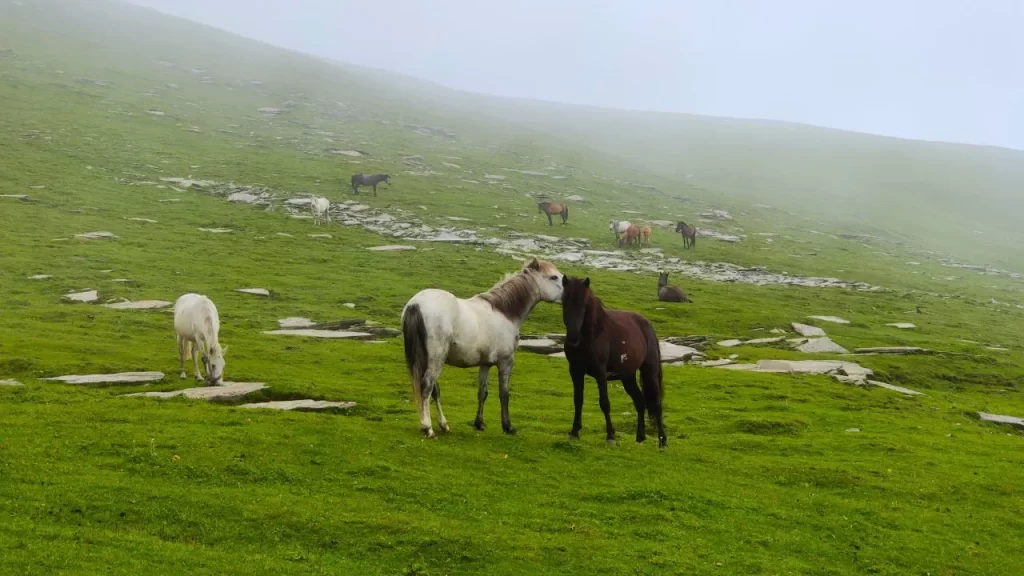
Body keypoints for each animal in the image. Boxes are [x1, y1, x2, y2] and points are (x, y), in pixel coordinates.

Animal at [403, 255, 569, 434]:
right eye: (554, 277)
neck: (504, 312)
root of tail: (416, 304)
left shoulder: (485, 364)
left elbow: (482, 392)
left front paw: (479, 423)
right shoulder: (506, 362)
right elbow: (504, 394)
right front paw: (508, 426)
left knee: (434, 390)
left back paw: (443, 424)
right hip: (436, 359)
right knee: (427, 385)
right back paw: (428, 427)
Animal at [557, 276, 667, 446]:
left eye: (584, 304)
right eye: (564, 301)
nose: (573, 337)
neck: (593, 334)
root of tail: (647, 324)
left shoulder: (600, 372)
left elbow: (604, 403)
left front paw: (610, 436)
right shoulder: (575, 371)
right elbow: (578, 400)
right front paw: (574, 432)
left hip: (650, 372)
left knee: (656, 403)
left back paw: (662, 441)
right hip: (627, 376)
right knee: (640, 401)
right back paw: (640, 437)